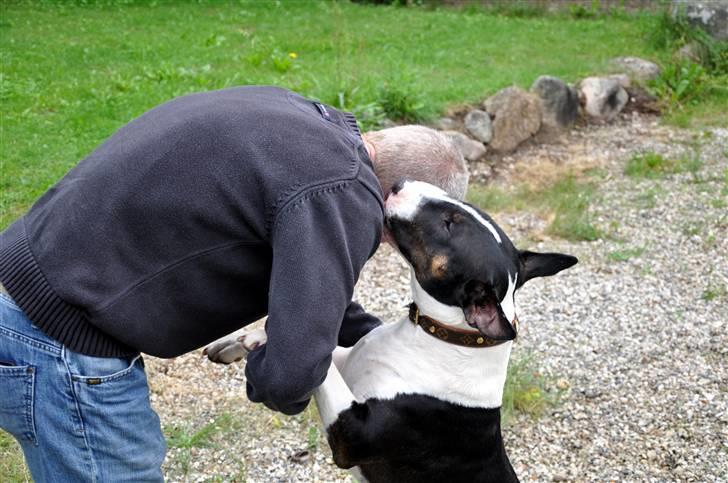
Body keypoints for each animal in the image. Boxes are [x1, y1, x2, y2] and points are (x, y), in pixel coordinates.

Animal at [205, 182, 576, 483]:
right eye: (462, 211)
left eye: (450, 224)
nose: (399, 184)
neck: (439, 336)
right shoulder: (351, 361)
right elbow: (326, 353)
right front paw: (244, 340)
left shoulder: (351, 433)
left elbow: (319, 363)